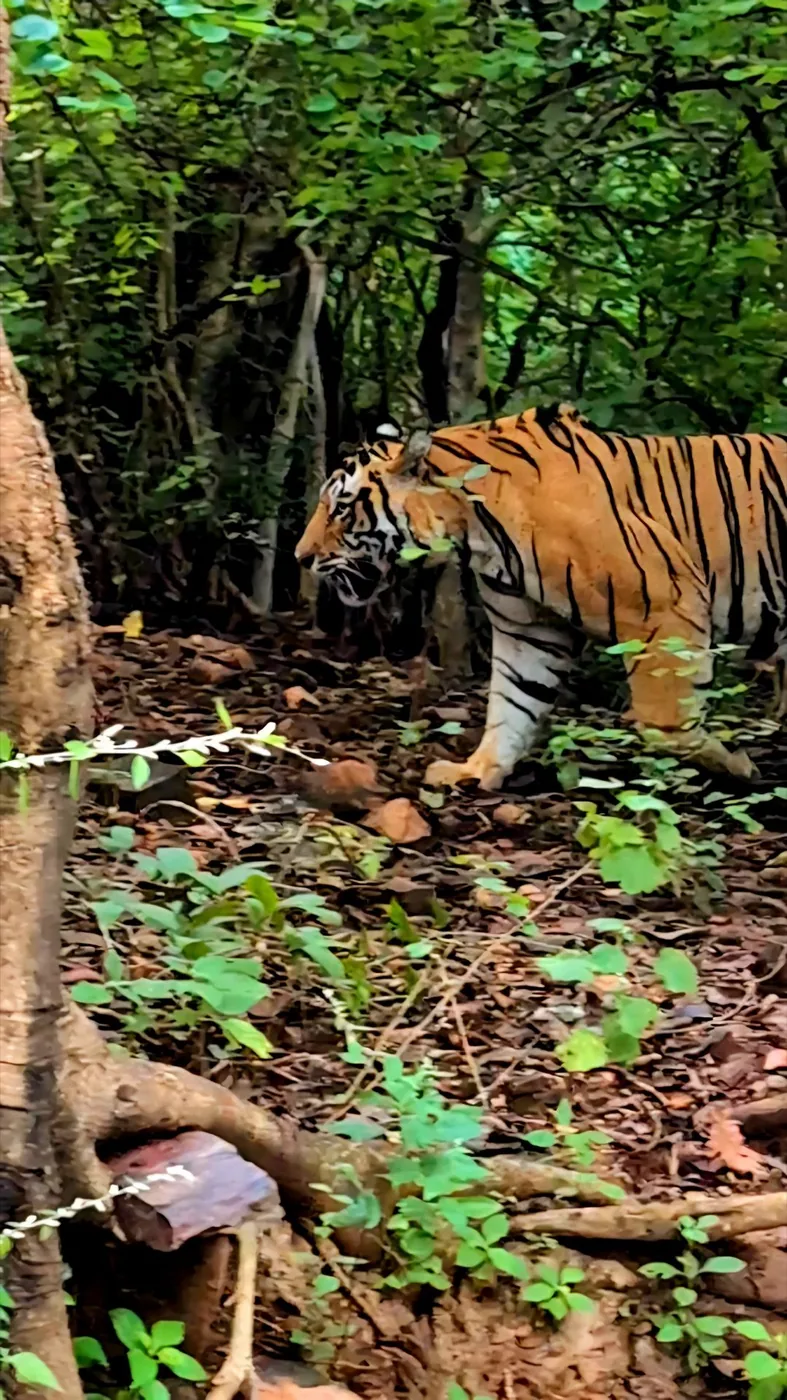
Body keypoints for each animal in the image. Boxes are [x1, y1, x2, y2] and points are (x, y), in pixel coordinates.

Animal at [295, 404, 787, 790]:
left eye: (341, 508)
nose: (301, 557)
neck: (476, 530)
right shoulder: (529, 629)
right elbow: (513, 703)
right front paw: (475, 770)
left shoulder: (662, 605)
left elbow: (666, 723)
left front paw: (736, 767)